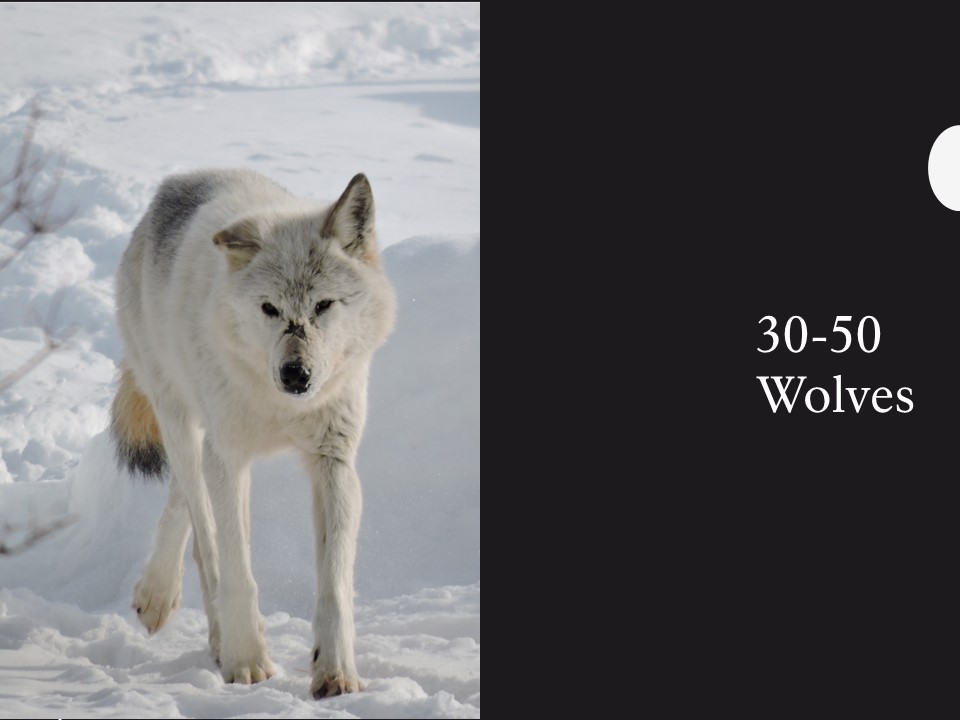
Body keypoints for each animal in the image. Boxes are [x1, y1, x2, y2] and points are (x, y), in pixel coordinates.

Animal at [110, 168, 395, 698]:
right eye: (269, 309)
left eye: (324, 305)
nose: (296, 375)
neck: (279, 405)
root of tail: (178, 182)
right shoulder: (229, 457)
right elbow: (235, 569)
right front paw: (245, 661)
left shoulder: (333, 462)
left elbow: (334, 584)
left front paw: (336, 672)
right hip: (180, 420)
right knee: (205, 540)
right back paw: (194, 620)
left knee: (183, 500)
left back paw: (157, 597)